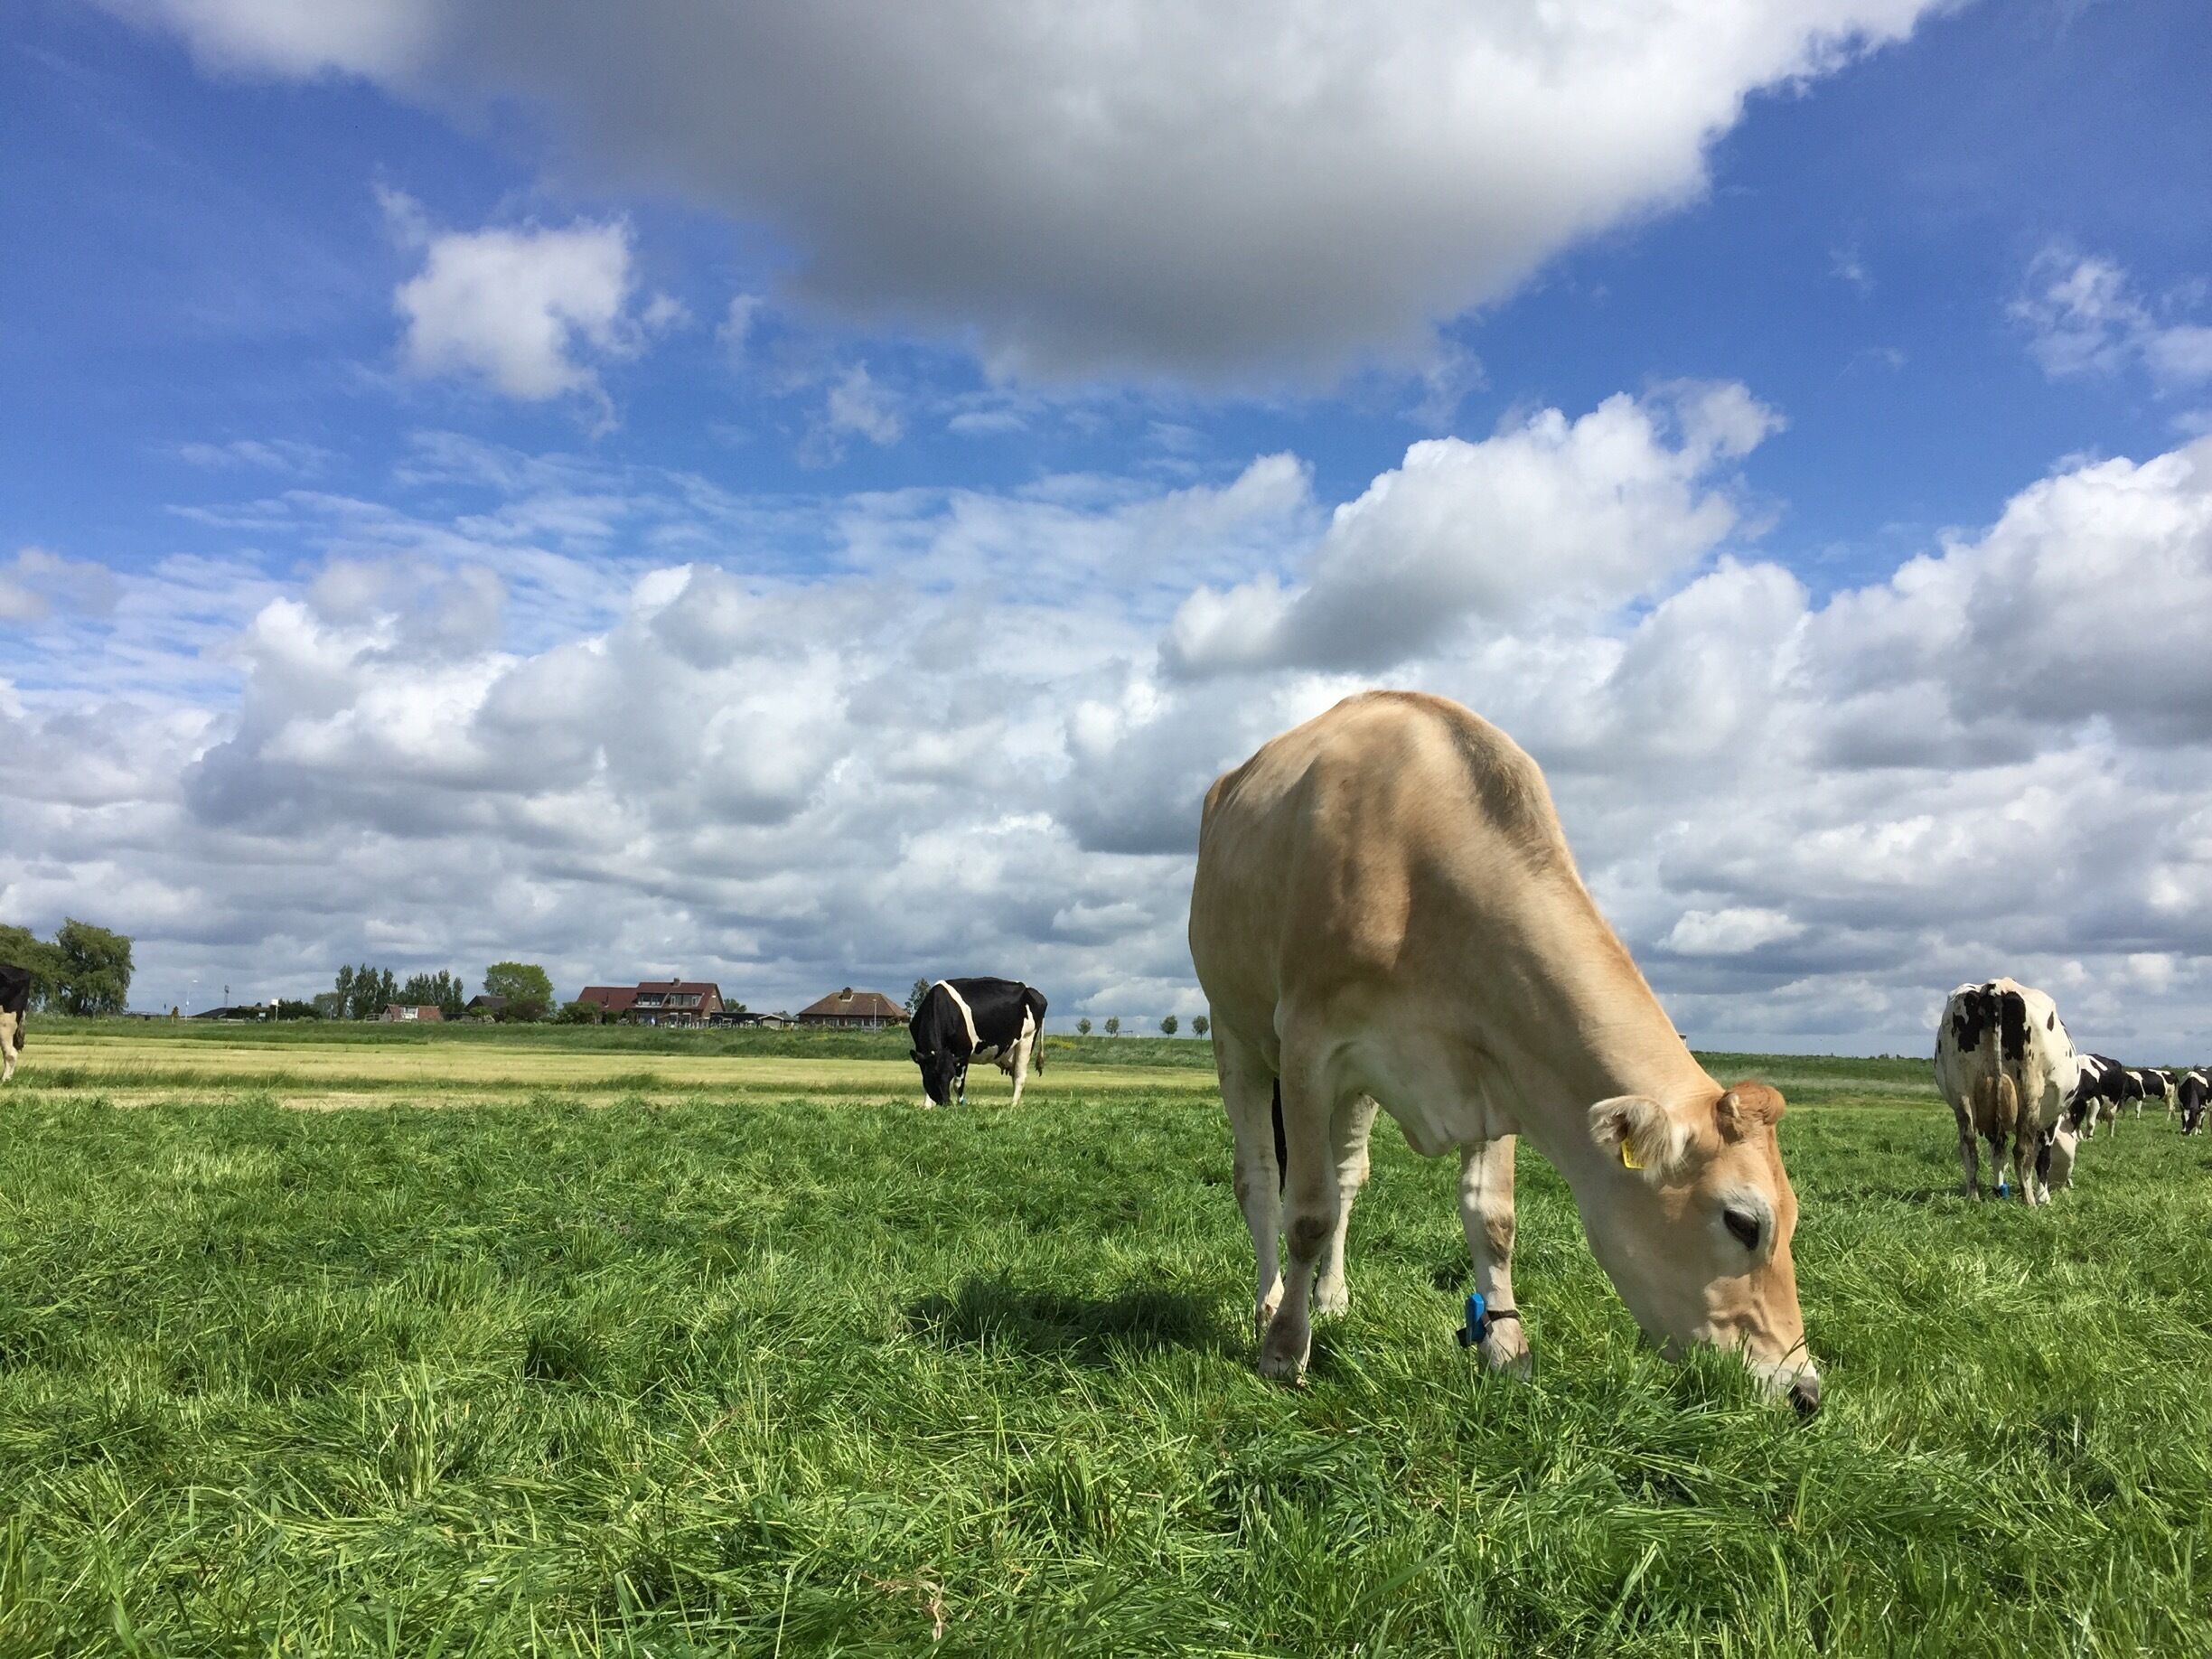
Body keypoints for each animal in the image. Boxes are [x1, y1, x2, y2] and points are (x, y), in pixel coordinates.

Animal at [908, 977, 1048, 1108]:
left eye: (950, 1075)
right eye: (933, 1075)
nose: (945, 1102)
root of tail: (1035, 993)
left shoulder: (964, 1051)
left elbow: (958, 1083)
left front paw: (961, 1104)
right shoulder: (921, 1051)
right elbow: (926, 1081)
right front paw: (927, 1106)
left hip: (1027, 1040)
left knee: (1020, 1076)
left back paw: (1012, 1105)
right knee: (1014, 1075)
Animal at [1188, 691, 1819, 1413]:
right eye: (1743, 1222)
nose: (1805, 1391)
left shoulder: (1501, 1068)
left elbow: (1491, 1218)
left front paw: (1505, 1348)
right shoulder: (1309, 1048)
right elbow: (1307, 1215)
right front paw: (1285, 1349)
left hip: (1357, 1091)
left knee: (1348, 1175)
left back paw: (1333, 1296)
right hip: (1237, 1036)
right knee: (1262, 1178)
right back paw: (1270, 1303)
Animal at [1933, 979, 2080, 1205]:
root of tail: (1995, 987)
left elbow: (1998, 1153)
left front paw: (1998, 1189)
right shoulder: (2050, 1120)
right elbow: (2043, 1157)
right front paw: (2043, 1197)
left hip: (1961, 1092)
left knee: (1969, 1146)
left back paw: (1973, 1197)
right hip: (2030, 1090)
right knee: (2022, 1151)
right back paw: (2029, 1201)